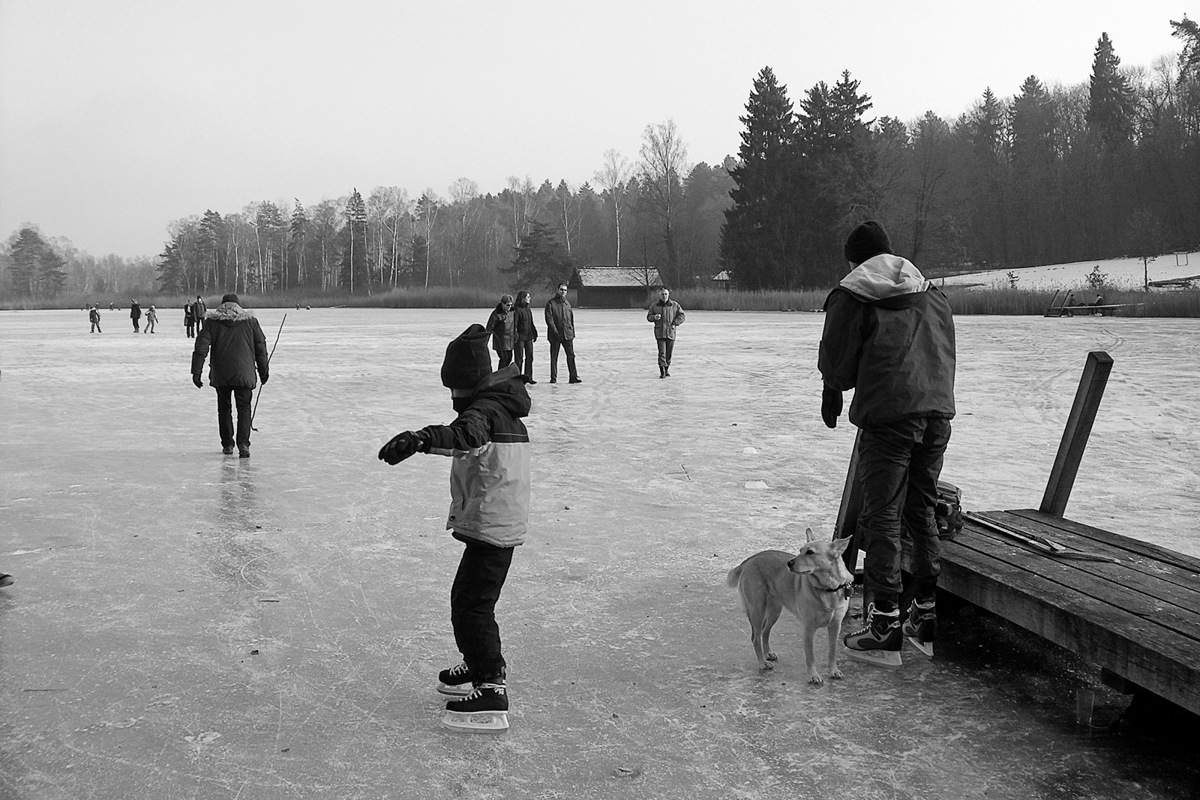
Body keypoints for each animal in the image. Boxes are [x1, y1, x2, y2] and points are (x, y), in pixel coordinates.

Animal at [729, 527, 854, 686]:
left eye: (810, 552)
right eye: (800, 550)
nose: (789, 563)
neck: (828, 588)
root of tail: (750, 560)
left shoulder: (835, 627)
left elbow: (832, 652)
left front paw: (833, 671)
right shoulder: (808, 630)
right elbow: (810, 656)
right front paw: (813, 675)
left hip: (774, 611)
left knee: (765, 632)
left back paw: (767, 653)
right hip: (757, 610)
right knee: (756, 637)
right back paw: (762, 662)